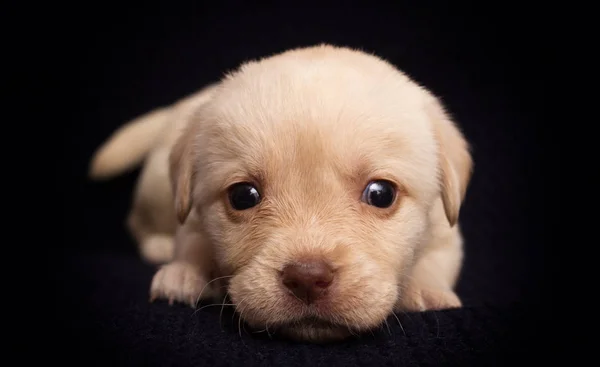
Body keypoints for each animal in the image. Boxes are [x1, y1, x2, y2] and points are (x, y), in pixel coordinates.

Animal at [89, 44, 474, 344]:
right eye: (243, 196)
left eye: (381, 194)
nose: (307, 278)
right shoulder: (193, 211)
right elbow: (192, 241)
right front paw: (183, 273)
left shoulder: (446, 228)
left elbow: (435, 259)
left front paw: (425, 290)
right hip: (156, 186)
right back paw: (159, 245)